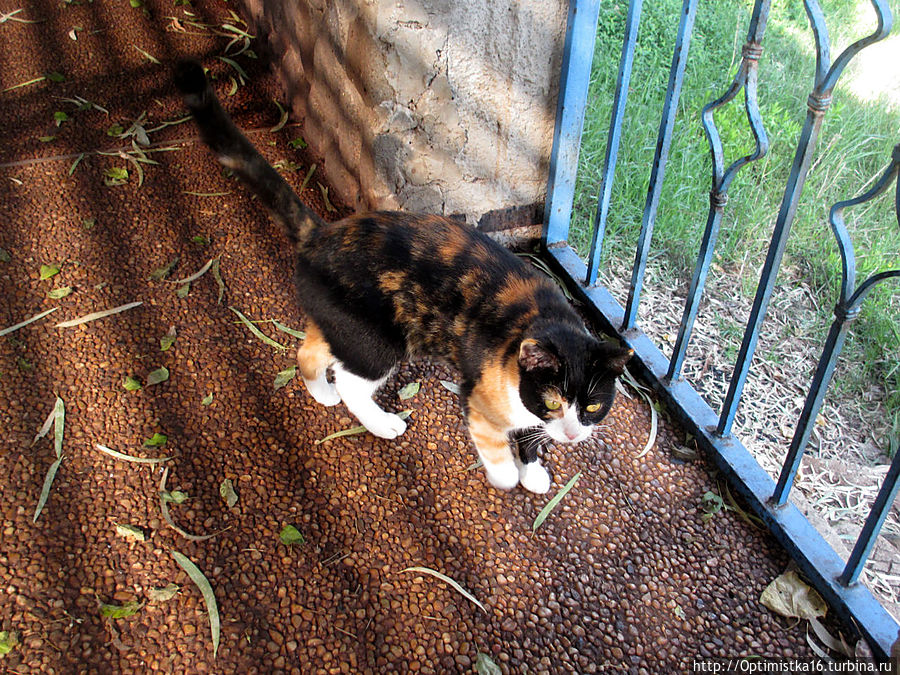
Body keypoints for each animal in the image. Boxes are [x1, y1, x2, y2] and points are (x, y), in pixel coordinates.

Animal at [172, 62, 628, 496]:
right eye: (552, 400)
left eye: (592, 407)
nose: (572, 435)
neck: (544, 320)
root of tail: (322, 234)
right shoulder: (481, 399)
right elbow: (497, 444)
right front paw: (507, 475)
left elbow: (530, 437)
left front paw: (532, 470)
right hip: (378, 343)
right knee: (351, 382)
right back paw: (380, 421)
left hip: (345, 326)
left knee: (309, 352)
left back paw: (322, 392)